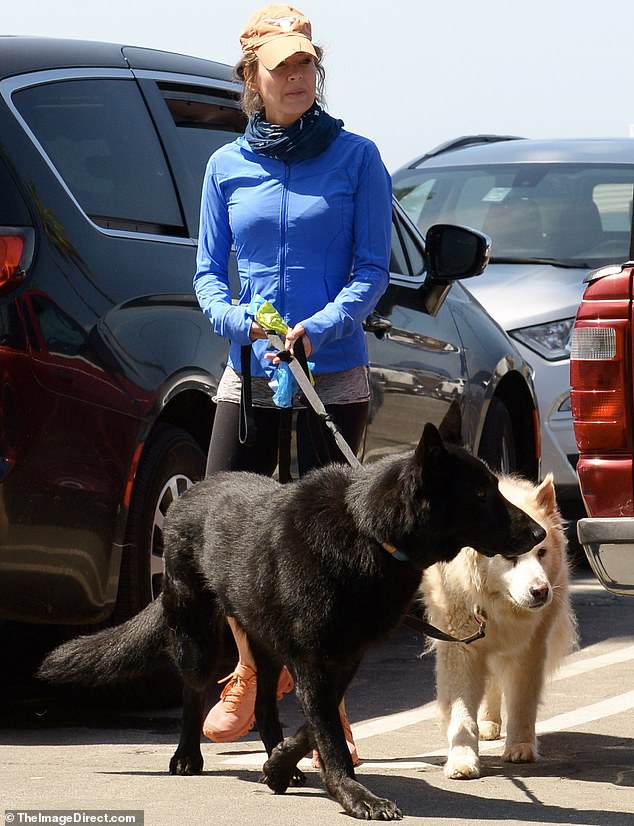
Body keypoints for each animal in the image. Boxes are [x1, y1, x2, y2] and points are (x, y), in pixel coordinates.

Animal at [39, 424, 544, 816]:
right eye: (480, 492)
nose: (540, 532)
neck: (370, 532)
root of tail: (190, 493)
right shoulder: (313, 662)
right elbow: (329, 736)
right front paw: (355, 796)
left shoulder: (340, 662)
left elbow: (316, 726)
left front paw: (280, 764)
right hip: (200, 638)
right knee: (193, 693)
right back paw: (186, 755)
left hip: (264, 643)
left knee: (264, 706)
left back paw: (277, 760)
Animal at [422, 474, 576, 776]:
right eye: (509, 555)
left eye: (542, 552)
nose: (541, 591)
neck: (496, 604)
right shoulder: (460, 649)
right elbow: (461, 709)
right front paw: (462, 759)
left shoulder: (529, 649)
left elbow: (522, 702)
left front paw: (520, 747)